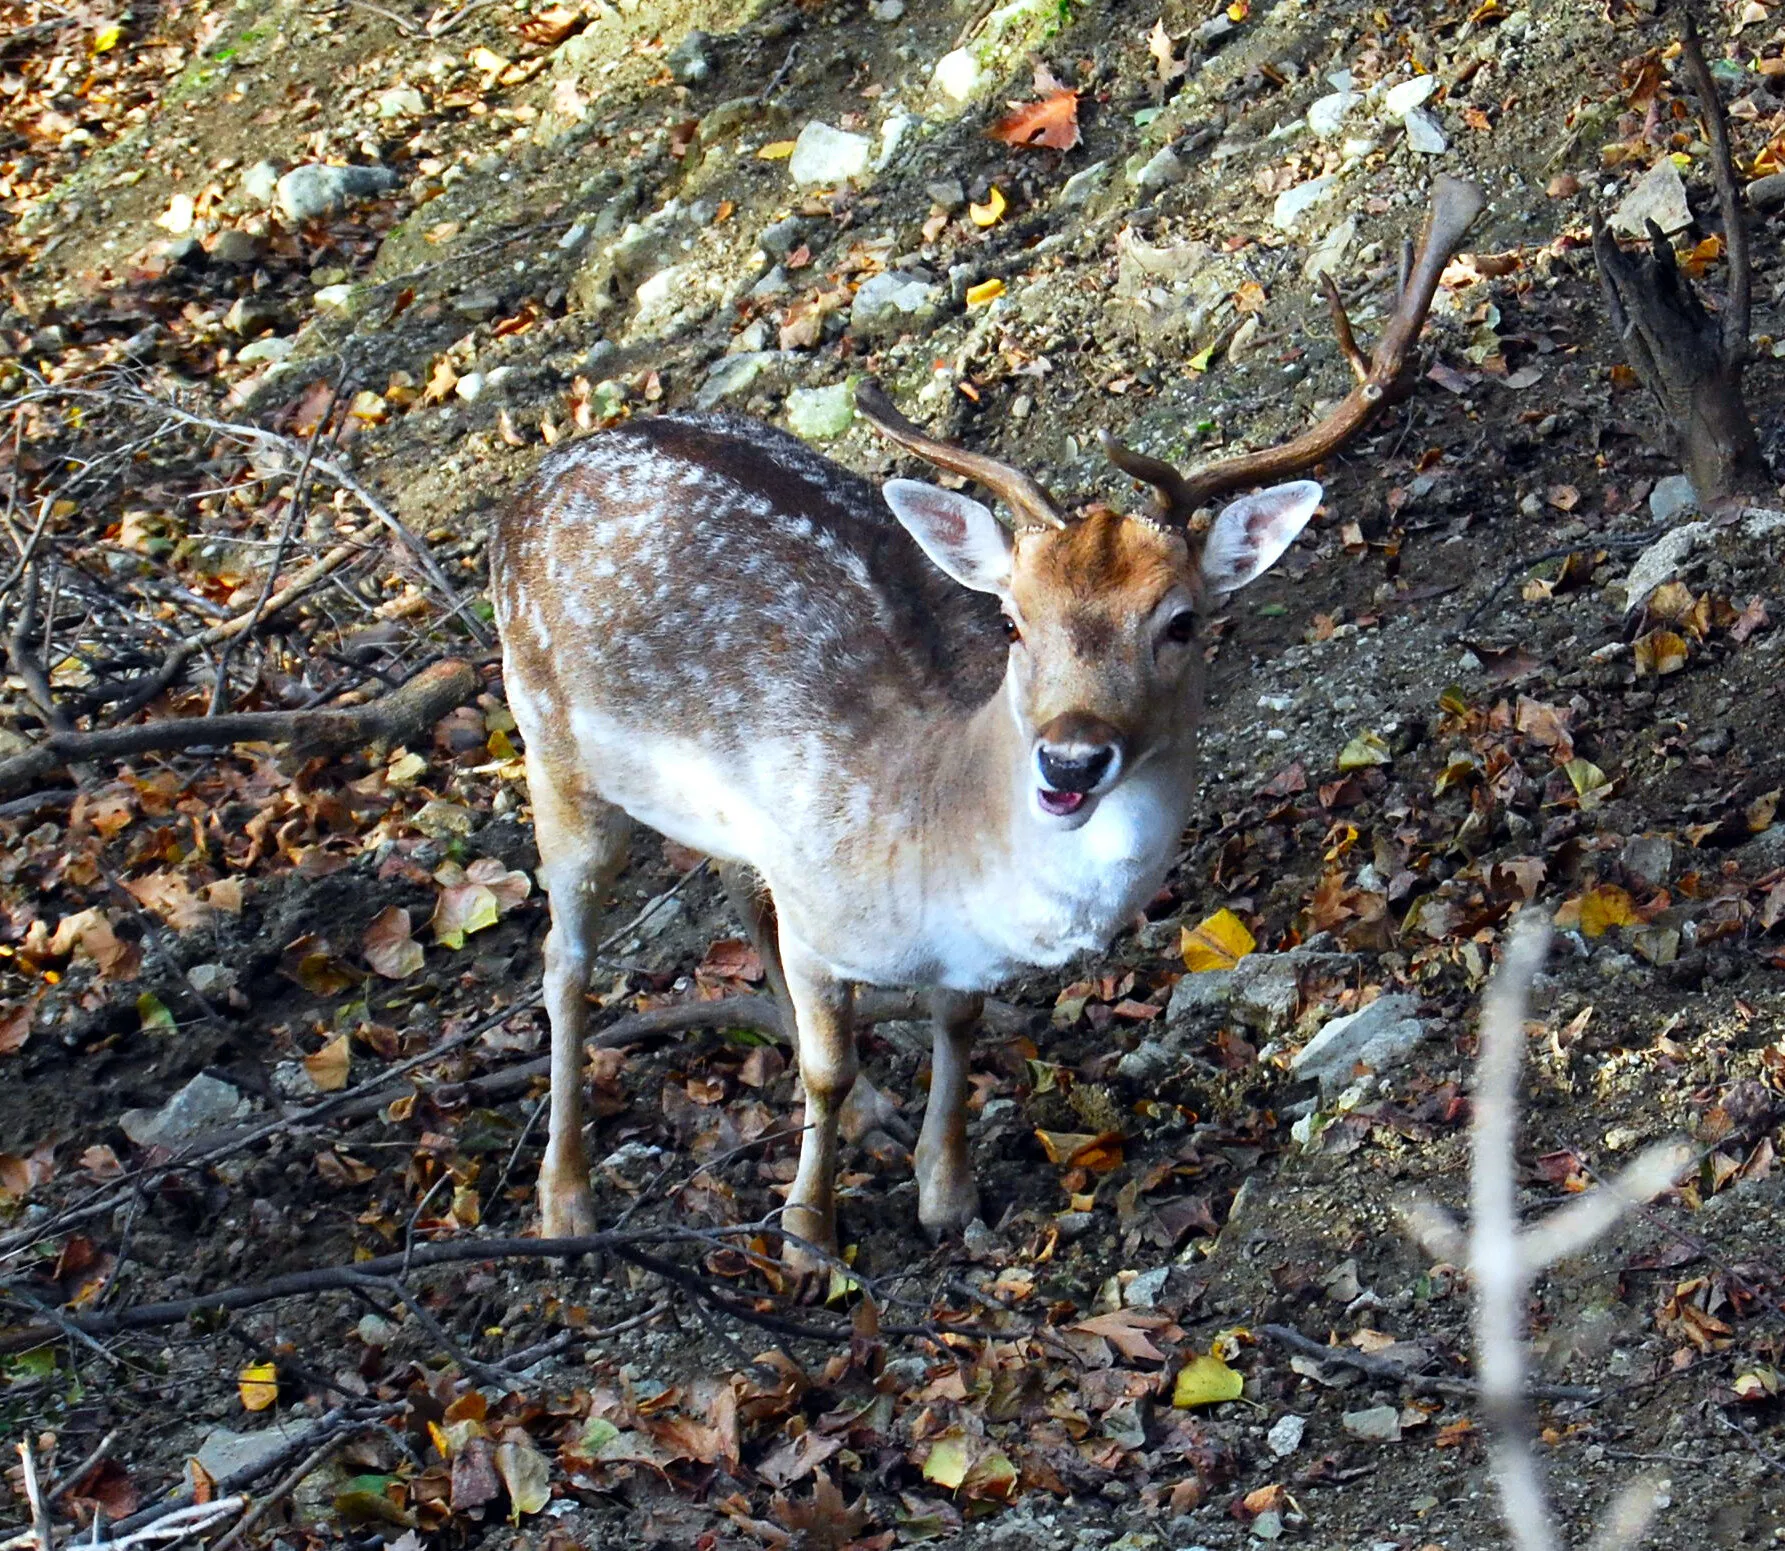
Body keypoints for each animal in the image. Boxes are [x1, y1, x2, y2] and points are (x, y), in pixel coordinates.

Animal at [489, 176, 1484, 1267]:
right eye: (1013, 619)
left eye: (1181, 620)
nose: (1071, 759)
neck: (941, 840)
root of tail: (536, 479)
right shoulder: (816, 891)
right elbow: (827, 1063)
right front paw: (807, 1235)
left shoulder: (906, 933)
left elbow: (955, 1019)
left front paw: (945, 1189)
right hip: (547, 739)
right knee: (565, 960)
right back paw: (565, 1199)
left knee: (731, 898)